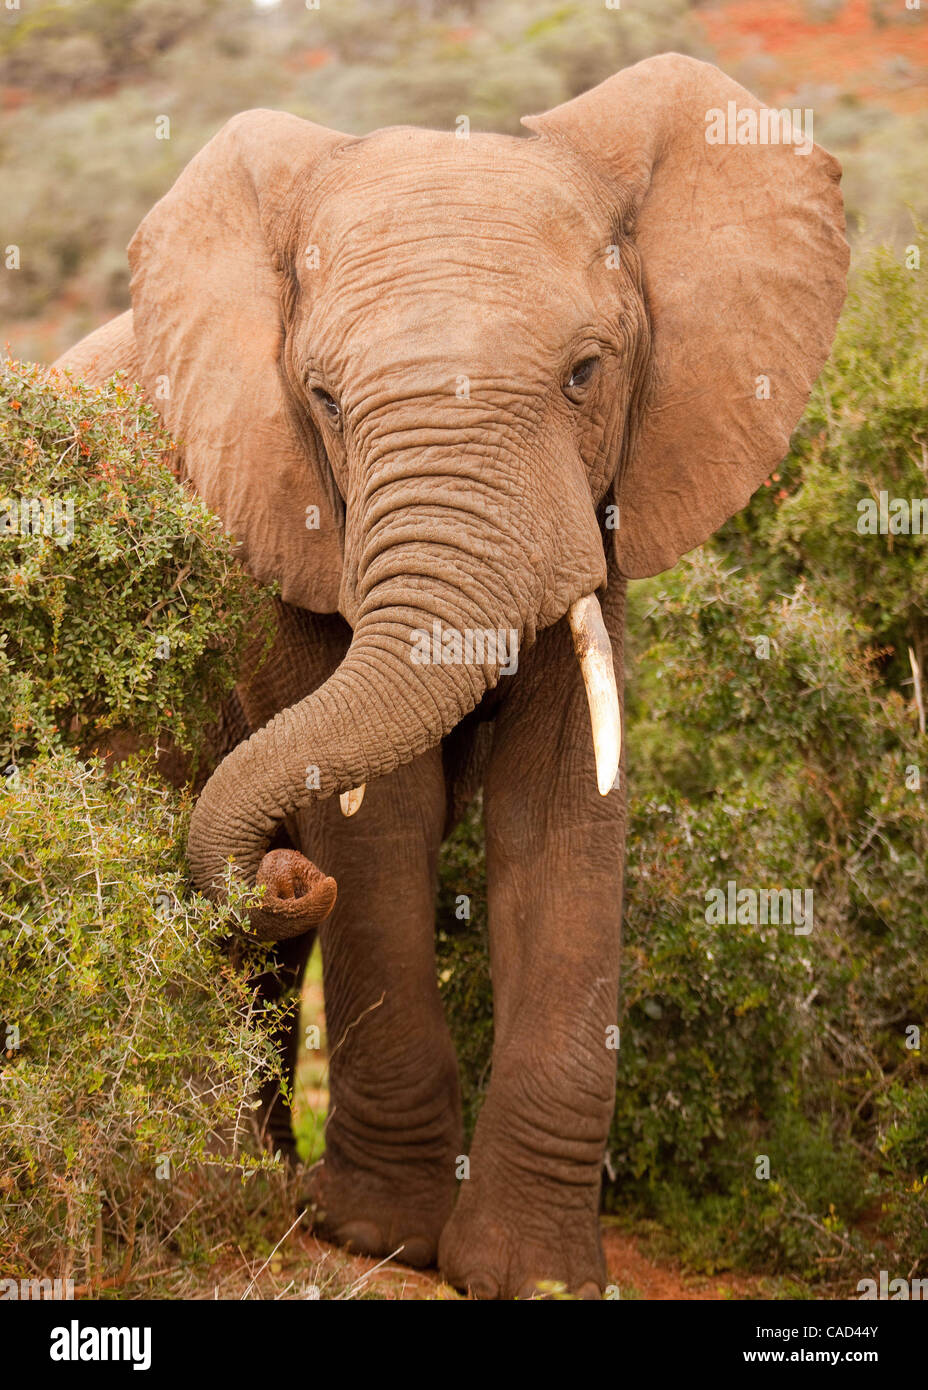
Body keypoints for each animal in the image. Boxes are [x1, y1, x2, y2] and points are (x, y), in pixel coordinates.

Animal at [52, 51, 850, 1289]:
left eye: (585, 374)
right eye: (324, 399)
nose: (281, 867)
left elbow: (560, 809)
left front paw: (536, 1273)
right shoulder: (280, 529)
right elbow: (379, 832)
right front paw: (379, 1234)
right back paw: (248, 1192)